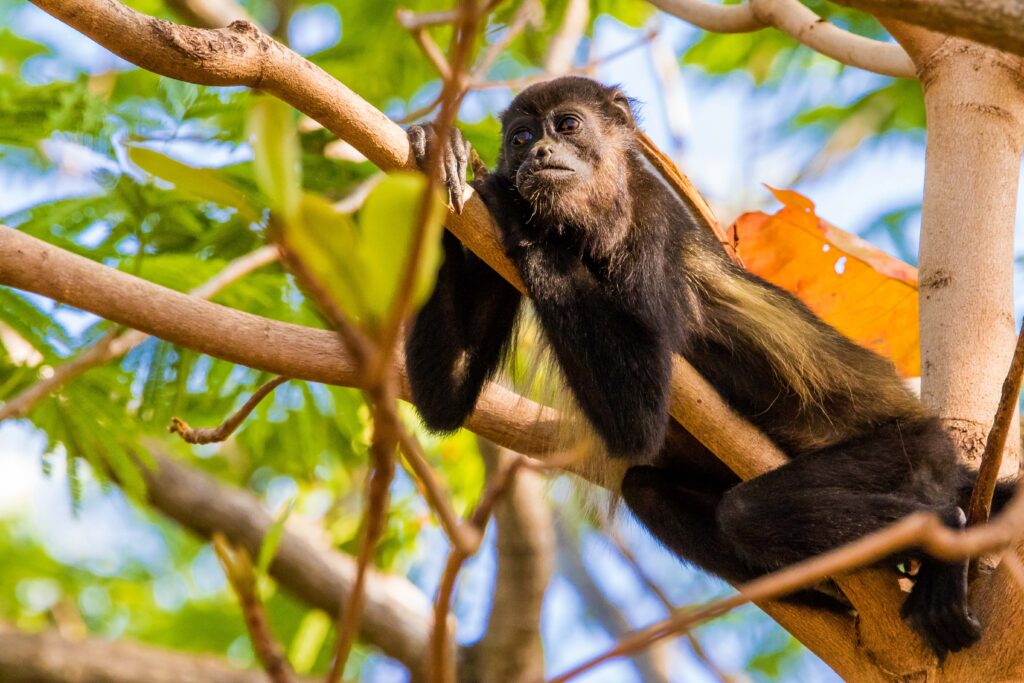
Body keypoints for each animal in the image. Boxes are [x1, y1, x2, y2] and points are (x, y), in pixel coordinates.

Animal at [404, 76, 1005, 657]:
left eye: (567, 125)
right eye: (520, 138)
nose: (538, 153)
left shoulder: (651, 224)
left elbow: (639, 420)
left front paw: (512, 208)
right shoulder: (489, 251)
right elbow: (447, 405)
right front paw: (440, 153)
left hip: (907, 451)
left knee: (749, 512)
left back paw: (941, 529)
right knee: (649, 490)